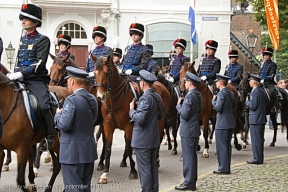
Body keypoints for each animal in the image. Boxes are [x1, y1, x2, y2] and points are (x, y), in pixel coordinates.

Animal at [91, 54, 170, 184]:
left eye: (107, 72)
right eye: (95, 72)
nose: (100, 96)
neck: (114, 100)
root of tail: (160, 84)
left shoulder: (129, 126)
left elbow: (128, 147)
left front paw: (133, 171)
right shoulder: (108, 125)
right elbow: (108, 147)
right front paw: (105, 173)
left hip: (160, 121)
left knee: (158, 139)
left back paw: (156, 161)